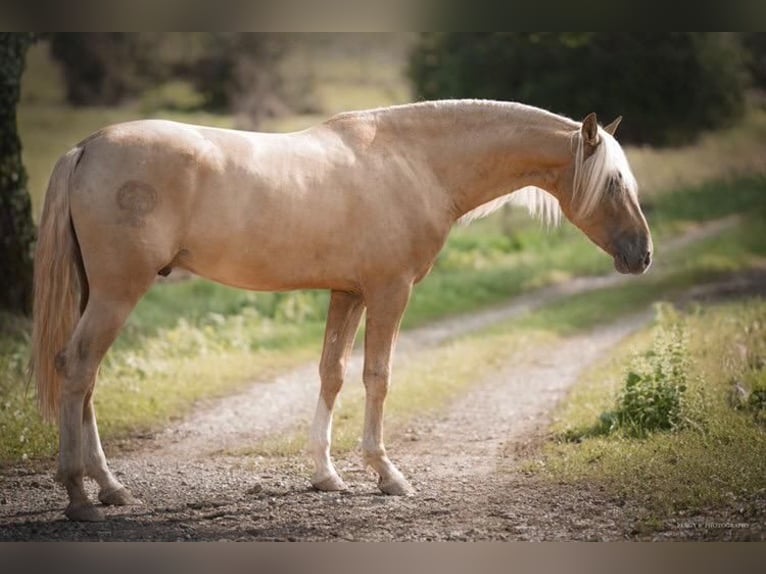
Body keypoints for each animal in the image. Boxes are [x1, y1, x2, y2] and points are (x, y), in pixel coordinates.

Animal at [31, 99, 656, 520]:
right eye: (613, 182)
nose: (642, 254)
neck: (414, 162)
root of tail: (87, 147)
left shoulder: (347, 293)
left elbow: (331, 374)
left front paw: (326, 476)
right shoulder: (389, 291)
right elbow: (377, 376)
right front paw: (387, 475)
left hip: (98, 293)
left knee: (86, 379)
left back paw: (111, 488)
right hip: (118, 292)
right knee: (77, 368)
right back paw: (80, 496)